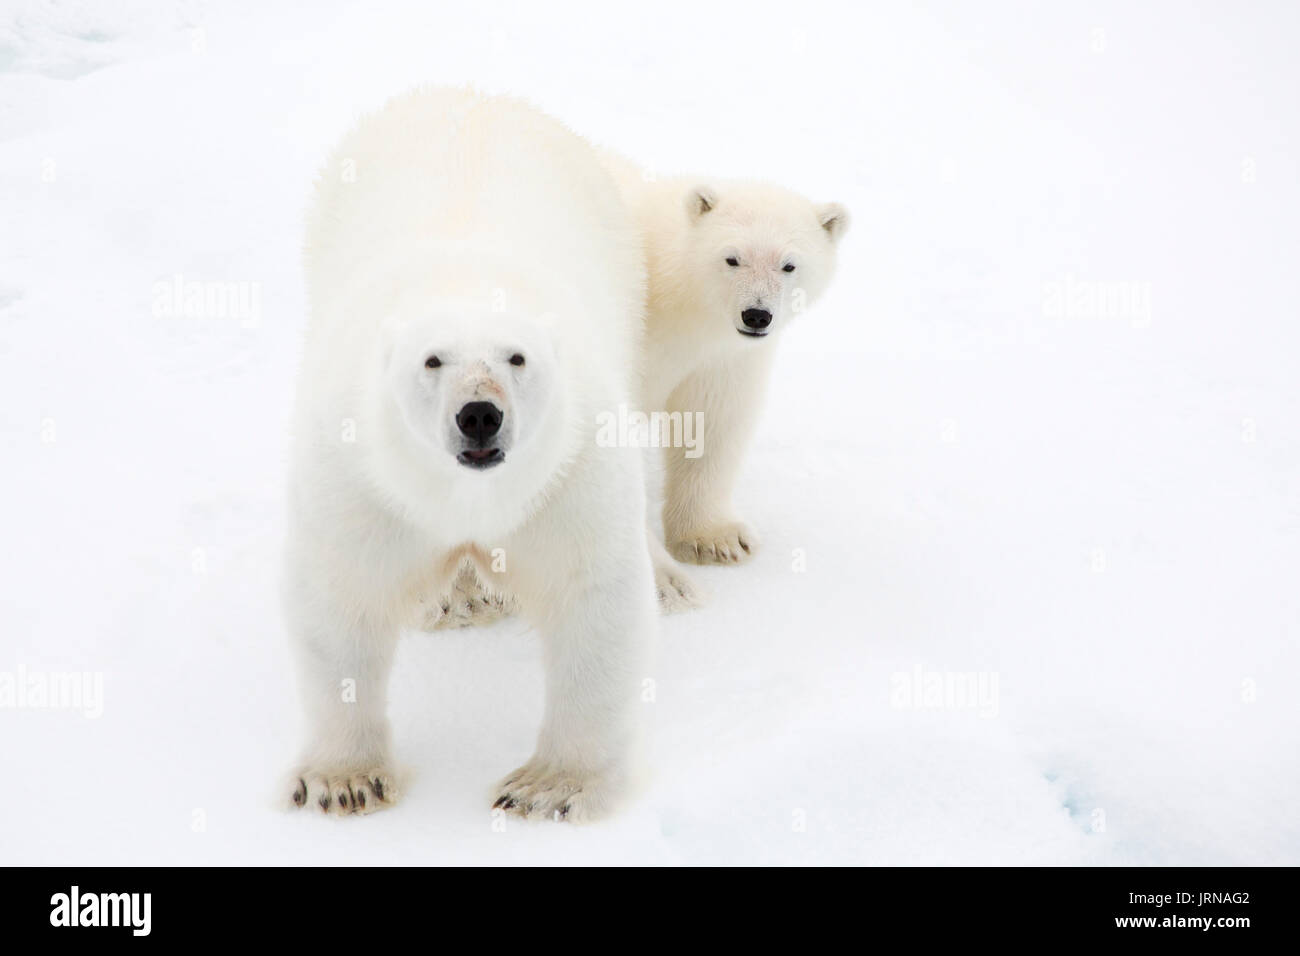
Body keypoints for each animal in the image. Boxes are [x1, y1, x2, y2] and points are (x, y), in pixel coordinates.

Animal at [284, 87, 655, 822]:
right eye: (433, 360)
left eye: (517, 357)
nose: (479, 414)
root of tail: (466, 93)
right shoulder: (361, 478)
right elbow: (342, 598)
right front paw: (344, 781)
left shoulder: (569, 471)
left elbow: (593, 594)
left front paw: (549, 788)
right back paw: (456, 601)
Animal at [602, 155, 849, 610]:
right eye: (732, 258)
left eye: (789, 264)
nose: (757, 315)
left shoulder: (720, 357)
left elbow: (714, 418)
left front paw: (716, 540)